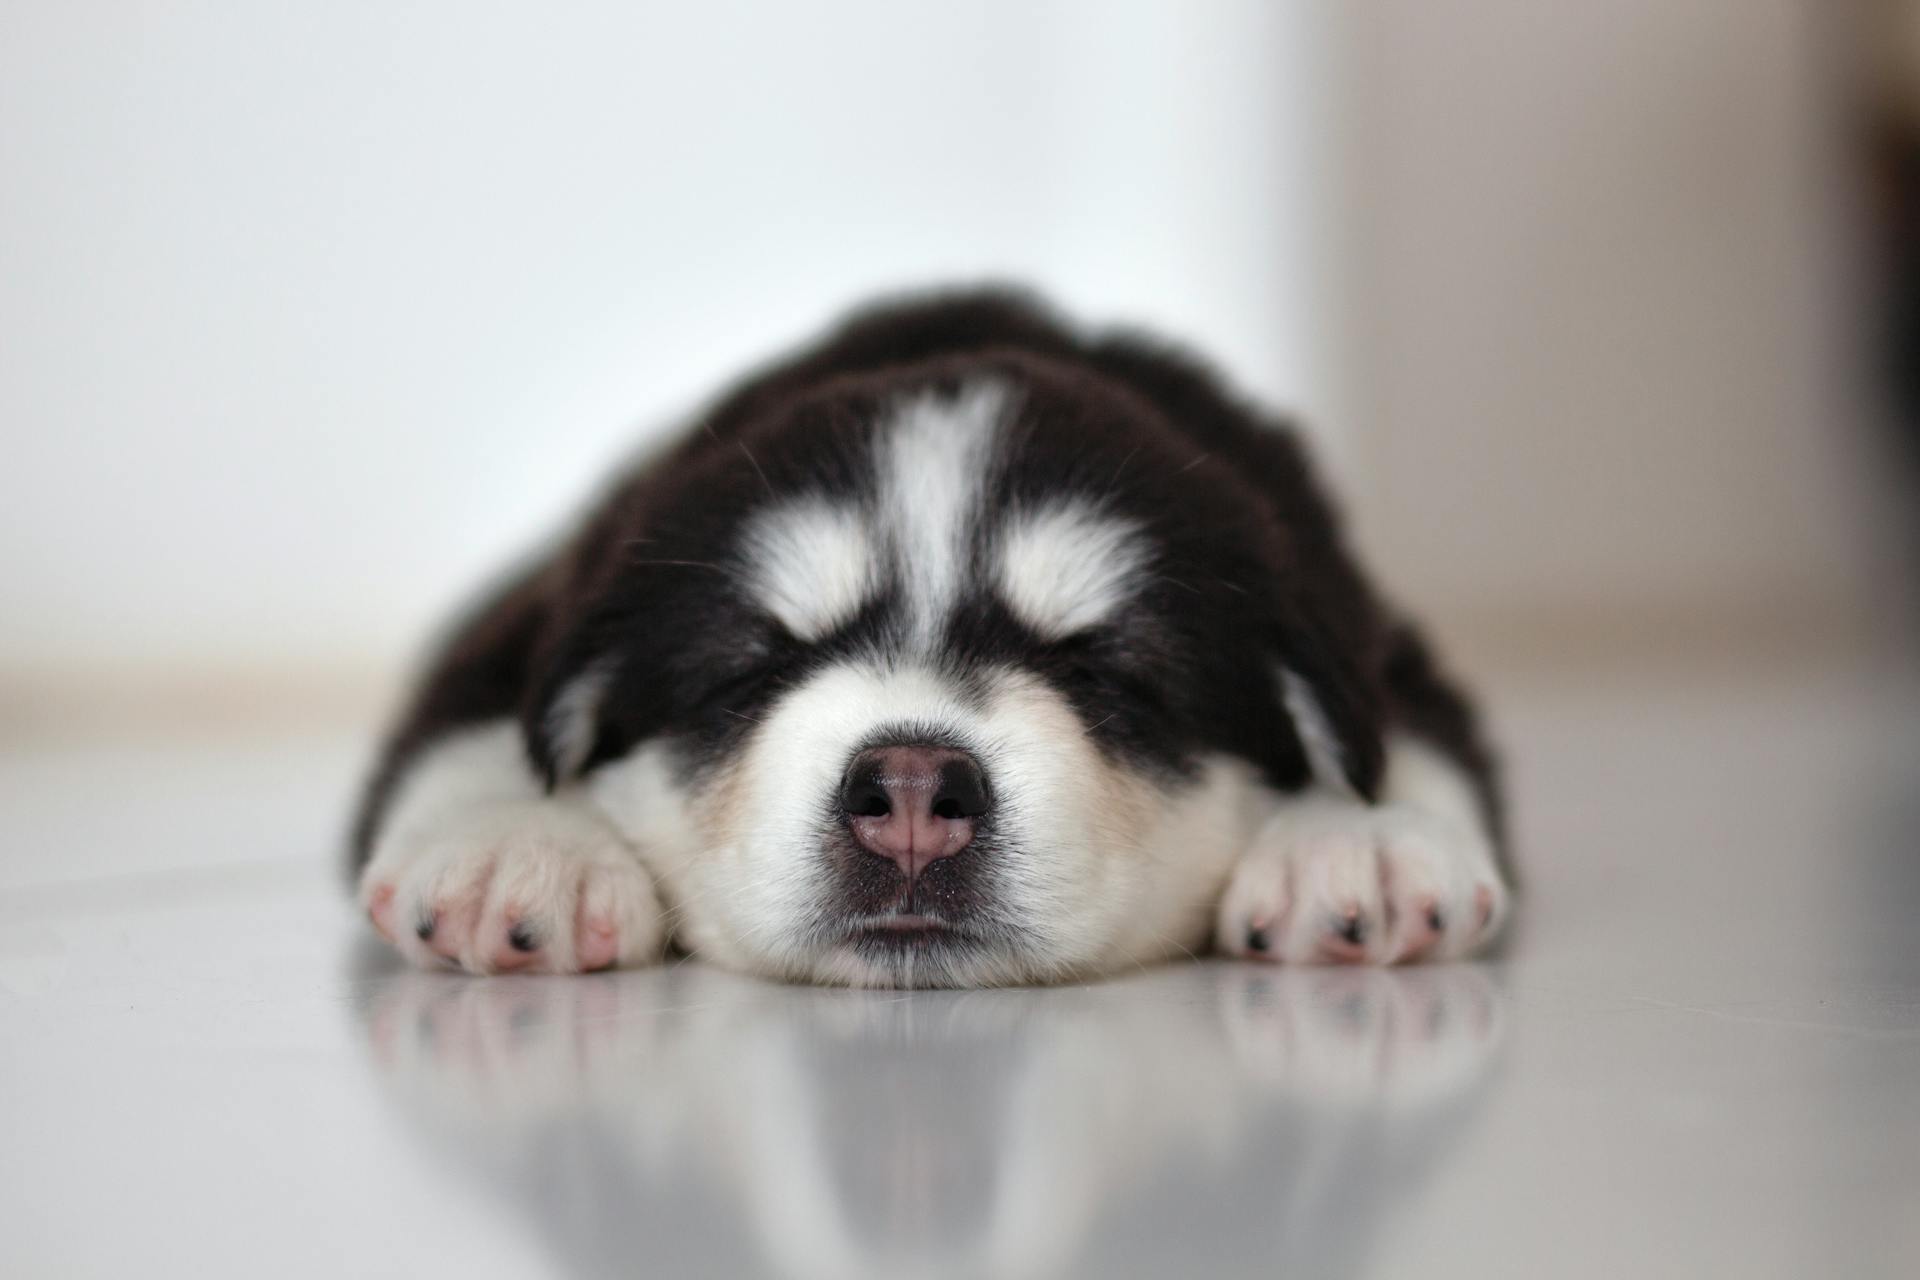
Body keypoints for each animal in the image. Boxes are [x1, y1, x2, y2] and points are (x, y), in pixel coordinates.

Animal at [353, 293, 1505, 990]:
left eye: (1103, 668)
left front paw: (1361, 842)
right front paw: (516, 847)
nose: (909, 791)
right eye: (757, 664)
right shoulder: (523, 625)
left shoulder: (1365, 623)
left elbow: (1409, 735)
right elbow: (473, 728)